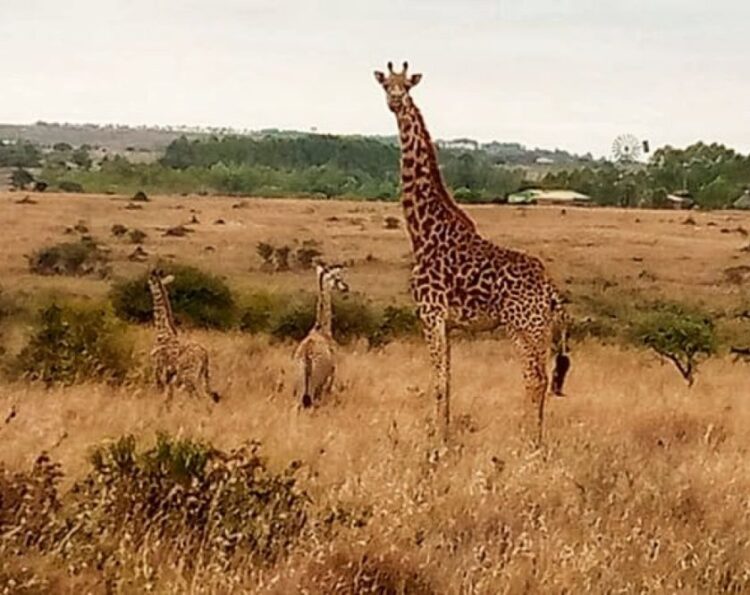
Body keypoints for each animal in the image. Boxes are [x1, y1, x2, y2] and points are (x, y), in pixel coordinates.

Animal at [147, 269, 220, 407]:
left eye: (150, 280)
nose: (146, 286)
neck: (163, 330)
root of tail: (205, 354)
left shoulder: (158, 367)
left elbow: (161, 393)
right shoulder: (169, 375)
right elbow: (168, 398)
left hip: (189, 376)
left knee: (199, 398)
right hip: (200, 375)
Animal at [293, 264, 349, 409]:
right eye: (337, 277)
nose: (346, 287)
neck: (322, 329)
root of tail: (307, 356)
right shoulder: (330, 378)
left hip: (300, 387)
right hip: (315, 385)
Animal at [374, 62, 570, 444]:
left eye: (406, 86)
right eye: (385, 85)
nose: (395, 101)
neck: (423, 232)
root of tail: (550, 290)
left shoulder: (430, 313)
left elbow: (438, 381)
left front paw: (436, 443)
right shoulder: (447, 322)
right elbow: (448, 381)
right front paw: (445, 436)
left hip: (522, 327)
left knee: (534, 378)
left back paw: (528, 444)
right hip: (540, 330)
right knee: (542, 379)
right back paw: (537, 440)